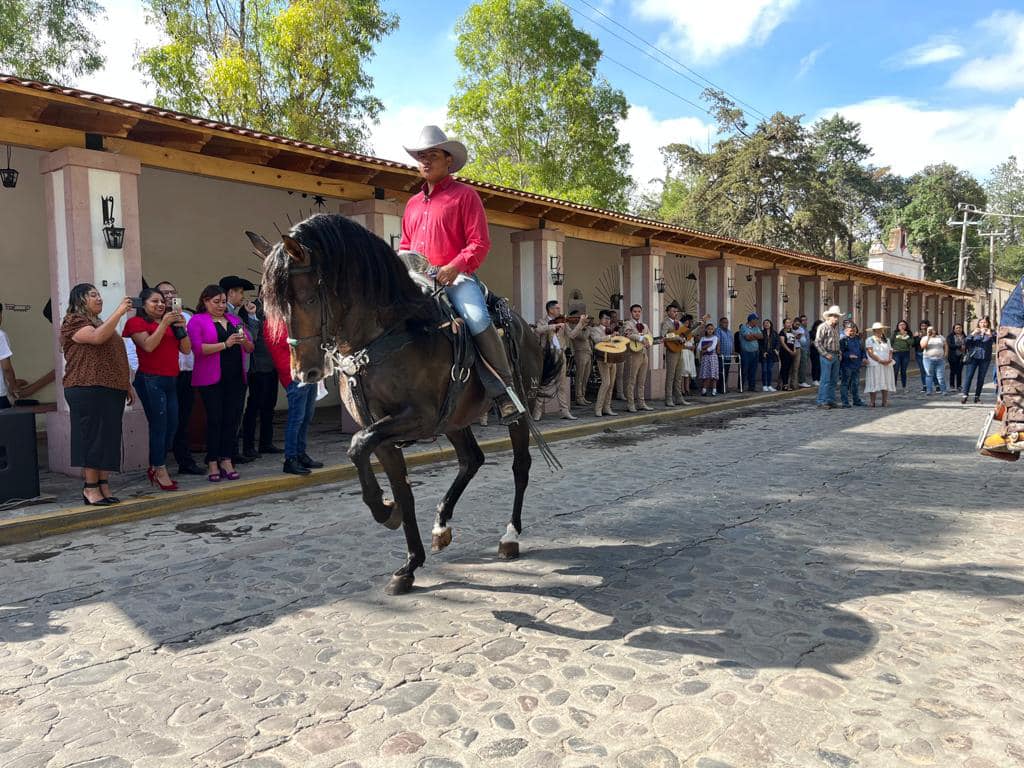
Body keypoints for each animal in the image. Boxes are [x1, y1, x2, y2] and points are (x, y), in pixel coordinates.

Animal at [253, 214, 561, 598]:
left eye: (307, 297)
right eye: (272, 306)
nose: (303, 372)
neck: (382, 336)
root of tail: (528, 328)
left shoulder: (417, 418)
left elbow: (356, 447)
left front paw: (386, 511)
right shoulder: (380, 430)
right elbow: (397, 484)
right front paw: (409, 560)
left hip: (516, 412)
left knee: (520, 467)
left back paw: (510, 535)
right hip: (455, 419)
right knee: (471, 459)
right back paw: (441, 525)